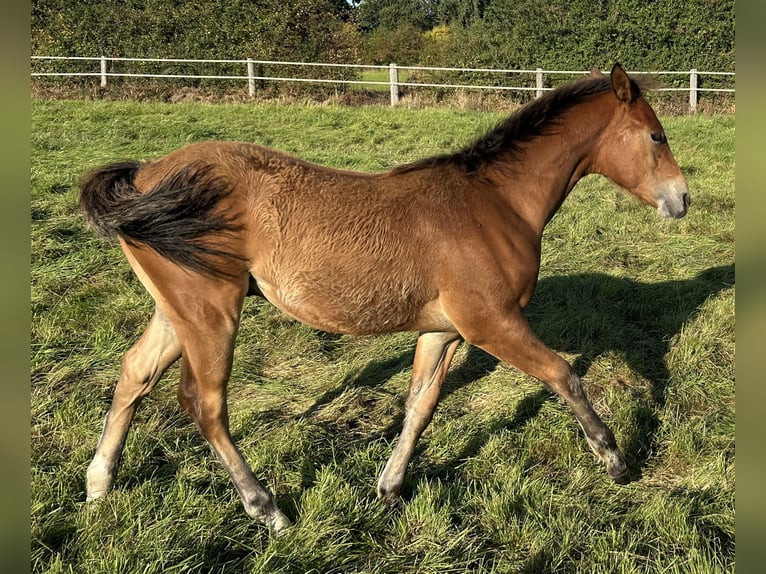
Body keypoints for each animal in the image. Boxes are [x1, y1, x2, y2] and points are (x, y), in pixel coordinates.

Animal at [79, 63, 690, 534]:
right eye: (656, 136)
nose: (682, 199)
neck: (496, 203)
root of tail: (146, 176)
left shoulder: (442, 330)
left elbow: (420, 406)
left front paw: (389, 486)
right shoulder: (491, 323)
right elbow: (564, 375)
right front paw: (614, 459)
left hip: (177, 311)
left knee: (134, 373)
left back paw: (99, 485)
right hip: (211, 311)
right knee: (204, 404)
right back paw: (268, 509)